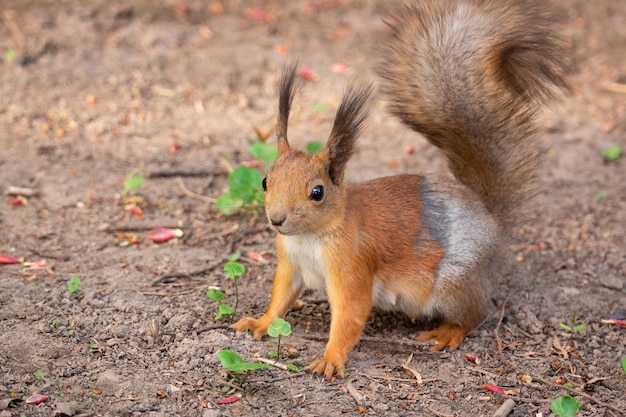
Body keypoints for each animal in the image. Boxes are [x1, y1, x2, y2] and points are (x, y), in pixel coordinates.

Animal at [232, 0, 568, 378]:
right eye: (265, 181)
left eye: (317, 192)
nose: (276, 219)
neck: (311, 237)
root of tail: (491, 219)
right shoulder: (290, 265)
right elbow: (280, 299)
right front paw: (259, 322)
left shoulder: (352, 264)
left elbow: (350, 313)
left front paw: (331, 358)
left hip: (455, 282)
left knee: (475, 314)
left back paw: (447, 332)